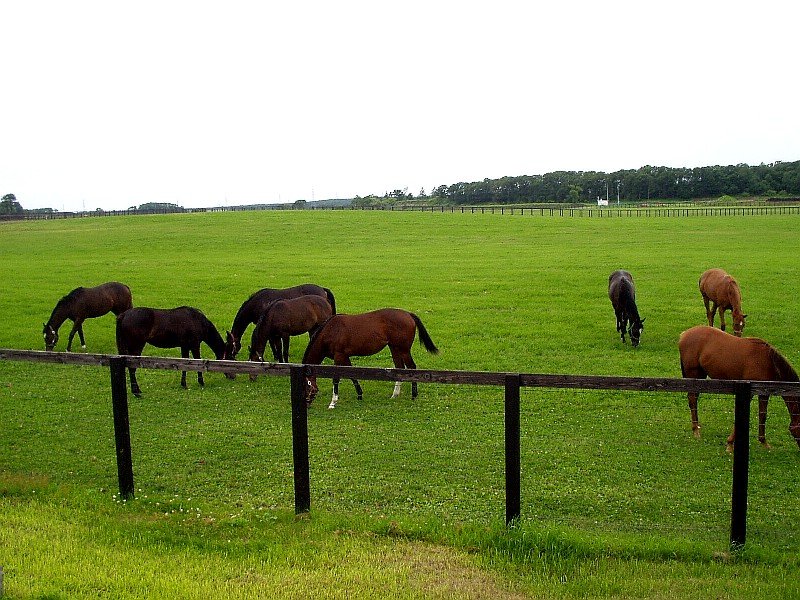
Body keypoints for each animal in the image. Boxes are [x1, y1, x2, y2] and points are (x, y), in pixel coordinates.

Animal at [302, 308, 438, 410]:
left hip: (403, 350)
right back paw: (395, 394)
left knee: (411, 367)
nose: (306, 406)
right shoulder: (345, 356)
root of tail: (408, 314)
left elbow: (336, 378)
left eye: (306, 388)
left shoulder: (339, 355)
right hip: (394, 348)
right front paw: (359, 394)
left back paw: (414, 395)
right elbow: (352, 375)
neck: (331, 330)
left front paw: (333, 402)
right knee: (399, 368)